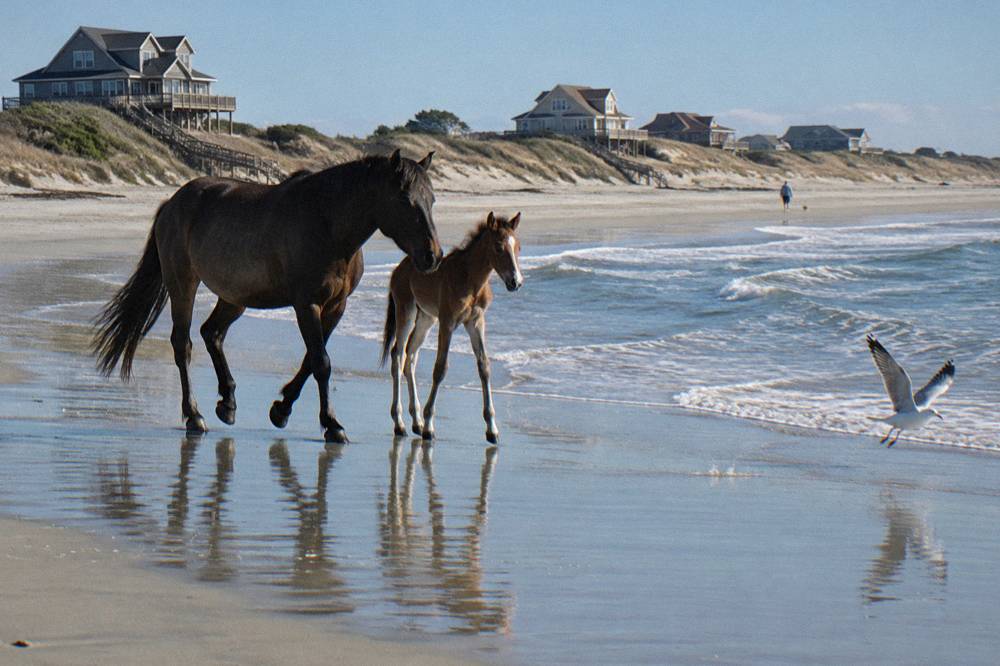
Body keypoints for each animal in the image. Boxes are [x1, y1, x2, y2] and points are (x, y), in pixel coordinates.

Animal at [93, 149, 442, 443]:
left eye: (432, 200)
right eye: (405, 199)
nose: (433, 256)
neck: (327, 222)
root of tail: (172, 202)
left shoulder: (335, 307)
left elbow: (310, 360)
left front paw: (281, 410)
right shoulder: (306, 304)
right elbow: (321, 362)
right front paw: (331, 424)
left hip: (235, 297)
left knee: (212, 333)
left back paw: (228, 403)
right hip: (183, 284)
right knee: (184, 344)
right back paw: (194, 416)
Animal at [380, 211, 523, 443]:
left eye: (518, 247)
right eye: (498, 247)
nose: (515, 282)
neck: (471, 280)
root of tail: (398, 270)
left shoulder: (476, 321)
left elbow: (484, 367)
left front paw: (492, 429)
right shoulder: (447, 322)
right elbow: (440, 369)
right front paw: (429, 425)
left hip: (426, 318)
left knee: (411, 356)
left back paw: (416, 421)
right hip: (406, 311)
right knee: (398, 354)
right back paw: (400, 423)